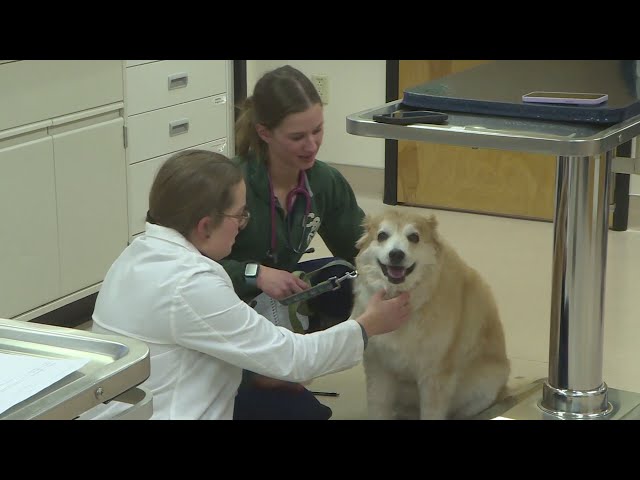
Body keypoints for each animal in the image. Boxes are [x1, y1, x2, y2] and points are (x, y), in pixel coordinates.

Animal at [352, 208, 508, 418]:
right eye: (382, 235)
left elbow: (431, 412)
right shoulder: (379, 369)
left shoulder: (434, 376)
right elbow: (378, 408)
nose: (396, 254)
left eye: (414, 237)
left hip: (482, 388)